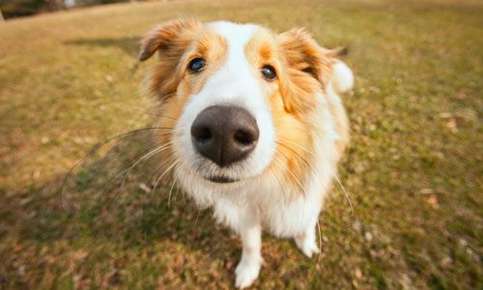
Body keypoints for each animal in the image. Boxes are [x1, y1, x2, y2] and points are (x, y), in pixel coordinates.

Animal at [138, 19, 354, 288]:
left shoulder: (311, 188)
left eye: (270, 71)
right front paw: (248, 270)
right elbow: (251, 243)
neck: (264, 180)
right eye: (195, 64)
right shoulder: (246, 211)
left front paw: (306, 244)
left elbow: (306, 220)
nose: (223, 130)